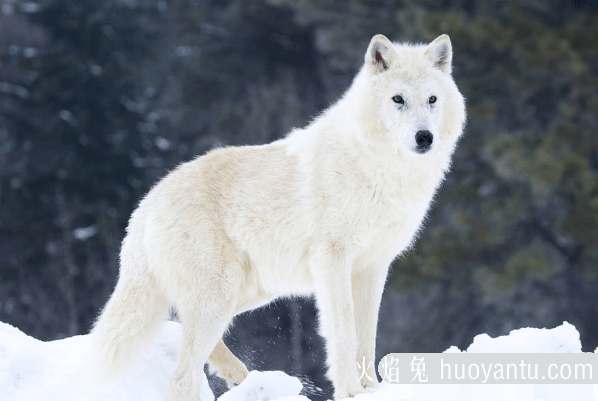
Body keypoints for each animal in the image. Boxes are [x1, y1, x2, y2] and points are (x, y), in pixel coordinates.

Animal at [92, 33, 468, 396]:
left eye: (432, 99)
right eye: (398, 99)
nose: (424, 137)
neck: (380, 169)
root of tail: (146, 204)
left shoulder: (373, 267)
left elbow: (366, 339)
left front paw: (372, 389)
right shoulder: (333, 260)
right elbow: (344, 333)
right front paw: (350, 391)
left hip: (248, 295)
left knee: (186, 329)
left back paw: (237, 373)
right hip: (221, 296)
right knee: (181, 378)